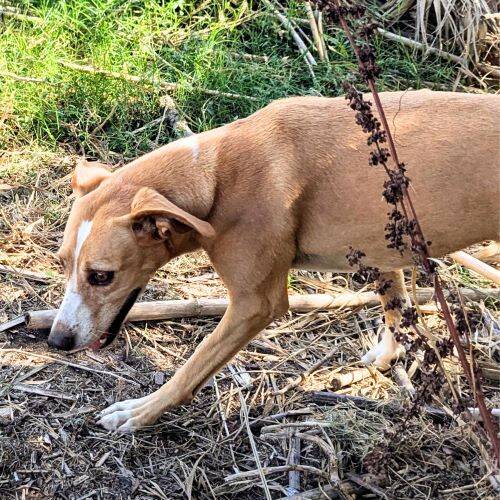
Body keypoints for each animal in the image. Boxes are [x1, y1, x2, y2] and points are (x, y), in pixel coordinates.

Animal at [46, 90, 499, 432]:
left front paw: (142, 412)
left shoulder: (254, 305)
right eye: (63, 263)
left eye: (101, 276)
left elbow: (192, 367)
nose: (56, 341)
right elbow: (396, 307)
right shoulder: (381, 248)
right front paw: (388, 355)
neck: (215, 176)